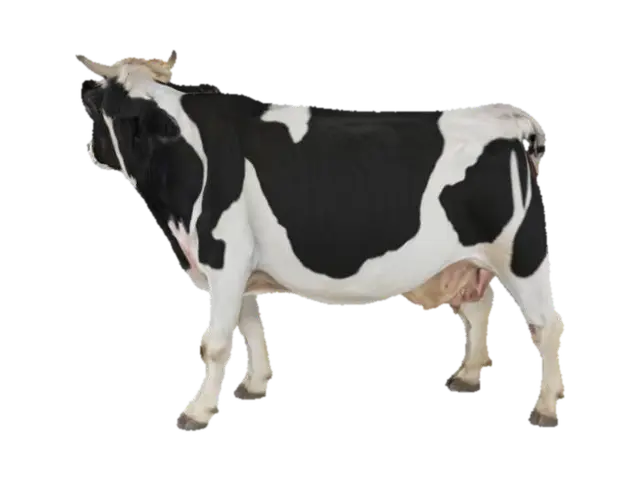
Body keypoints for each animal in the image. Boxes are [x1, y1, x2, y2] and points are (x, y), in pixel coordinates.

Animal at [78, 50, 564, 433]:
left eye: (100, 113)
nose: (91, 149)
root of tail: (503, 116)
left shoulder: (225, 257)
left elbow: (214, 343)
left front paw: (195, 412)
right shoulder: (239, 266)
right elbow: (249, 324)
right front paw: (255, 384)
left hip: (523, 254)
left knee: (546, 325)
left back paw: (545, 406)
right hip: (468, 259)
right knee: (479, 308)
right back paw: (466, 376)